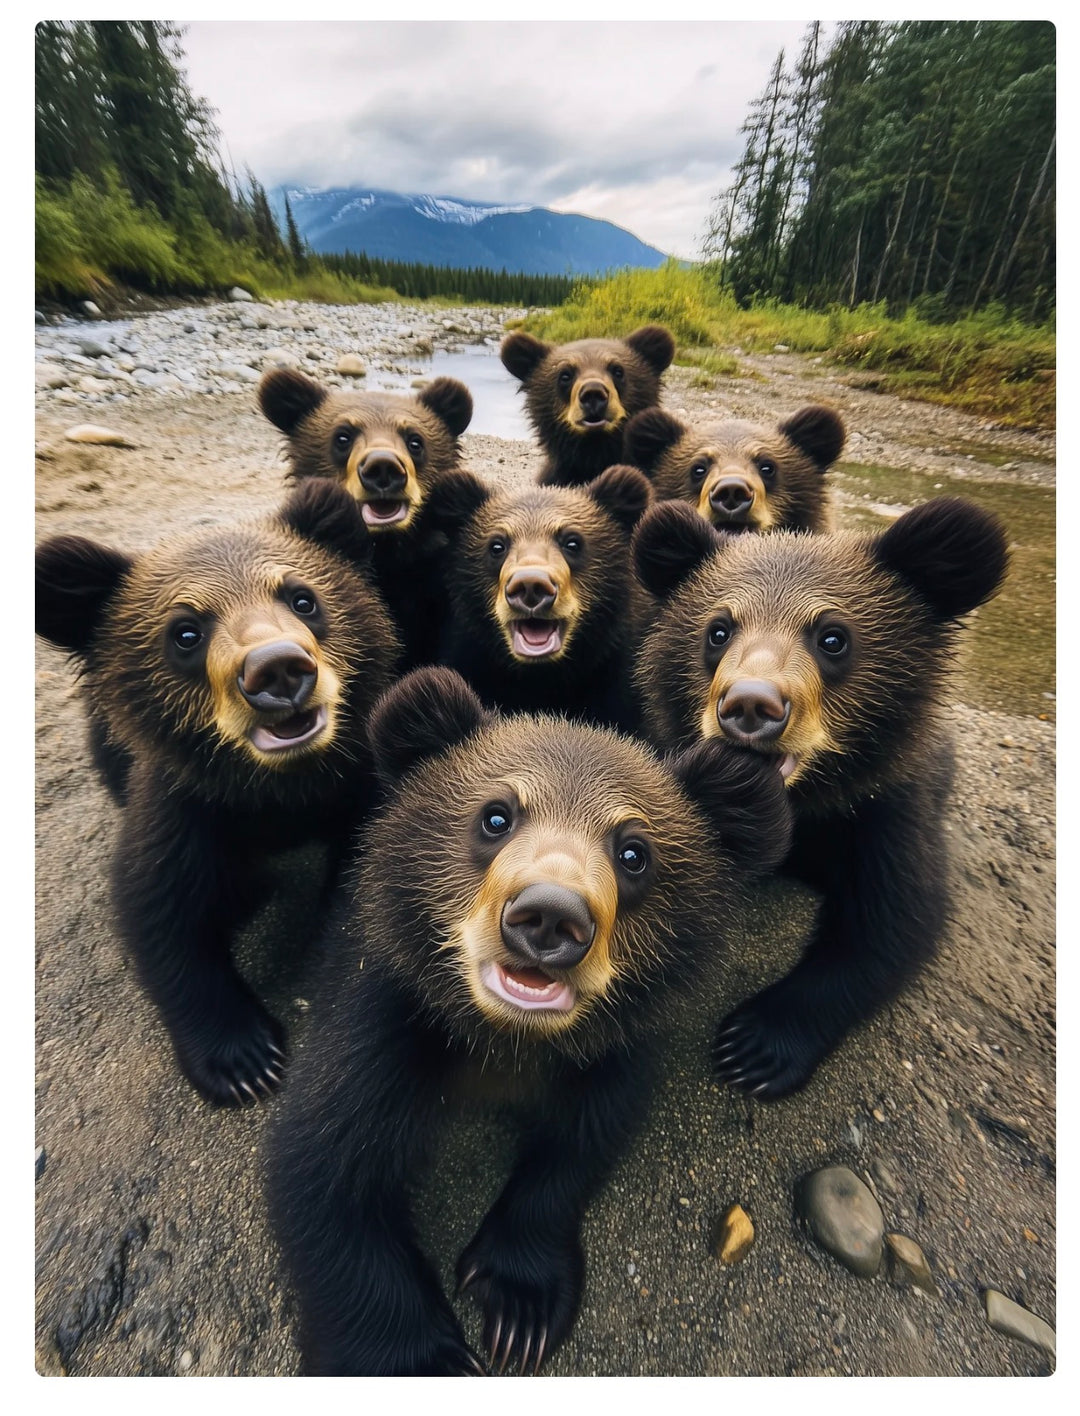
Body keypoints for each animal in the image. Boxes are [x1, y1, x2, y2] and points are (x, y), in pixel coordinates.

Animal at [35, 481, 402, 1107]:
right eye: (185, 632)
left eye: (302, 599)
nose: (278, 670)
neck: (284, 786)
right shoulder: (187, 807)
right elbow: (163, 912)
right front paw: (244, 1060)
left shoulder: (359, 784)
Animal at [264, 666, 793, 1376]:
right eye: (496, 816)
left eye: (634, 853)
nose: (549, 916)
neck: (506, 1039)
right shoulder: (384, 1019)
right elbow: (326, 1170)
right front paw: (424, 1356)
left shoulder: (615, 1045)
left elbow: (583, 1137)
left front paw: (520, 1308)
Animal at [632, 496, 1009, 1099]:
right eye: (718, 631)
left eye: (833, 636)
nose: (750, 705)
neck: (800, 805)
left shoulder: (884, 807)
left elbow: (892, 918)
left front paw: (754, 1046)